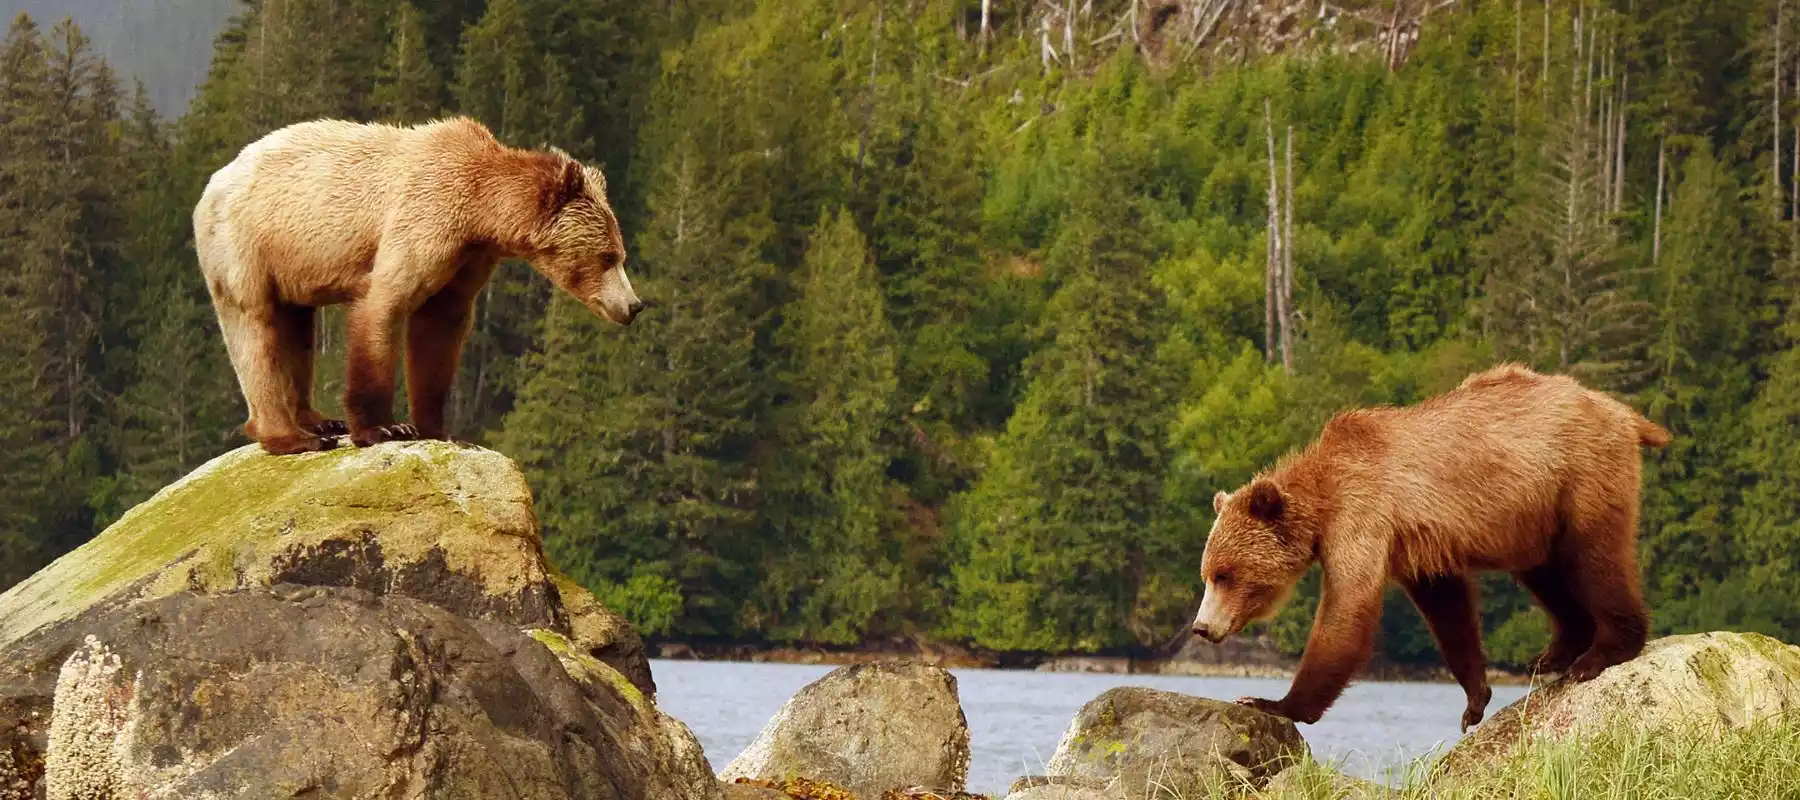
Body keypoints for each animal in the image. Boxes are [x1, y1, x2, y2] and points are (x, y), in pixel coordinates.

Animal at [193, 117, 641, 455]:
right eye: (608, 256)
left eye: (621, 254)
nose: (634, 305)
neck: (481, 212)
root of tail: (214, 181)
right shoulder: (426, 218)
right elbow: (386, 304)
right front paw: (383, 428)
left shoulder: (467, 258)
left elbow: (439, 330)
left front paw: (437, 427)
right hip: (248, 244)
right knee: (256, 331)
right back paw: (291, 436)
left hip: (291, 263)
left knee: (297, 330)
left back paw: (318, 421)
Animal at [1189, 364, 1671, 731]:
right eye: (1207, 573)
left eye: (1225, 574)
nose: (1201, 627)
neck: (1322, 499)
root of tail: (1622, 411)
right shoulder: (1419, 546)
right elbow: (1447, 608)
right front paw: (1475, 700)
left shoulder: (1363, 516)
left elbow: (1347, 610)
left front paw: (1270, 702)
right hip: (1534, 513)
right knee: (1545, 571)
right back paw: (1557, 651)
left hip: (1579, 475)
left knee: (1595, 557)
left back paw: (1602, 652)